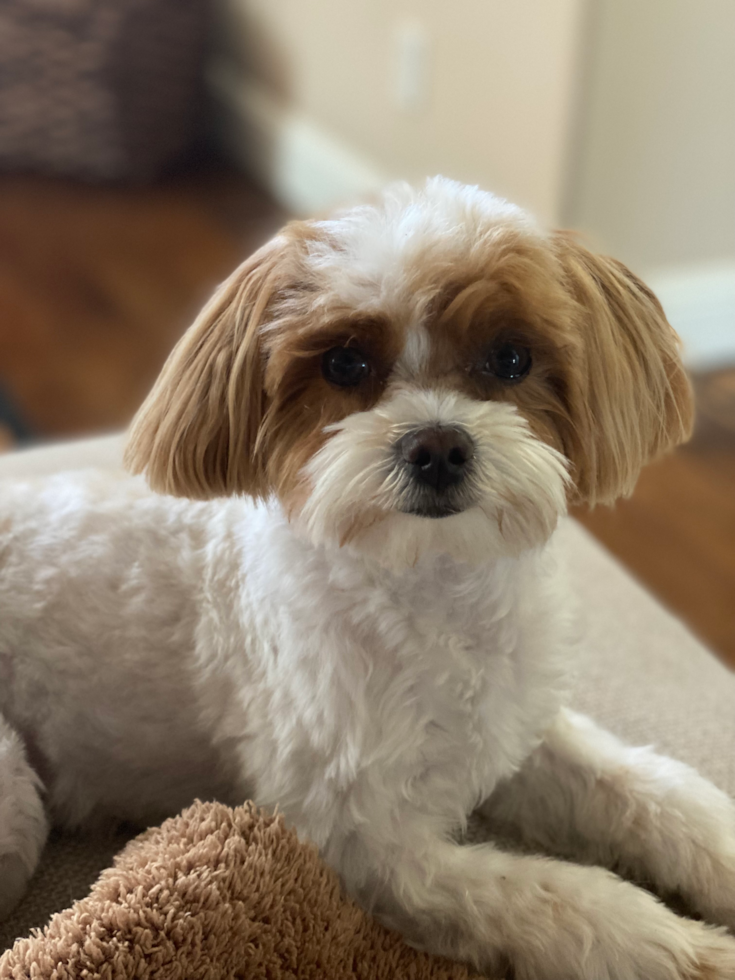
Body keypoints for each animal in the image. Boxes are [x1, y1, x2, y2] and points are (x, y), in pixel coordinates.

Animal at [1, 178, 735, 980]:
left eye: (510, 358)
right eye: (345, 365)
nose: (437, 445)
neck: (432, 587)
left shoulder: (512, 730)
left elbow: (644, 787)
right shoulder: (373, 848)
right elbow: (564, 901)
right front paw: (689, 950)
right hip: (14, 797)